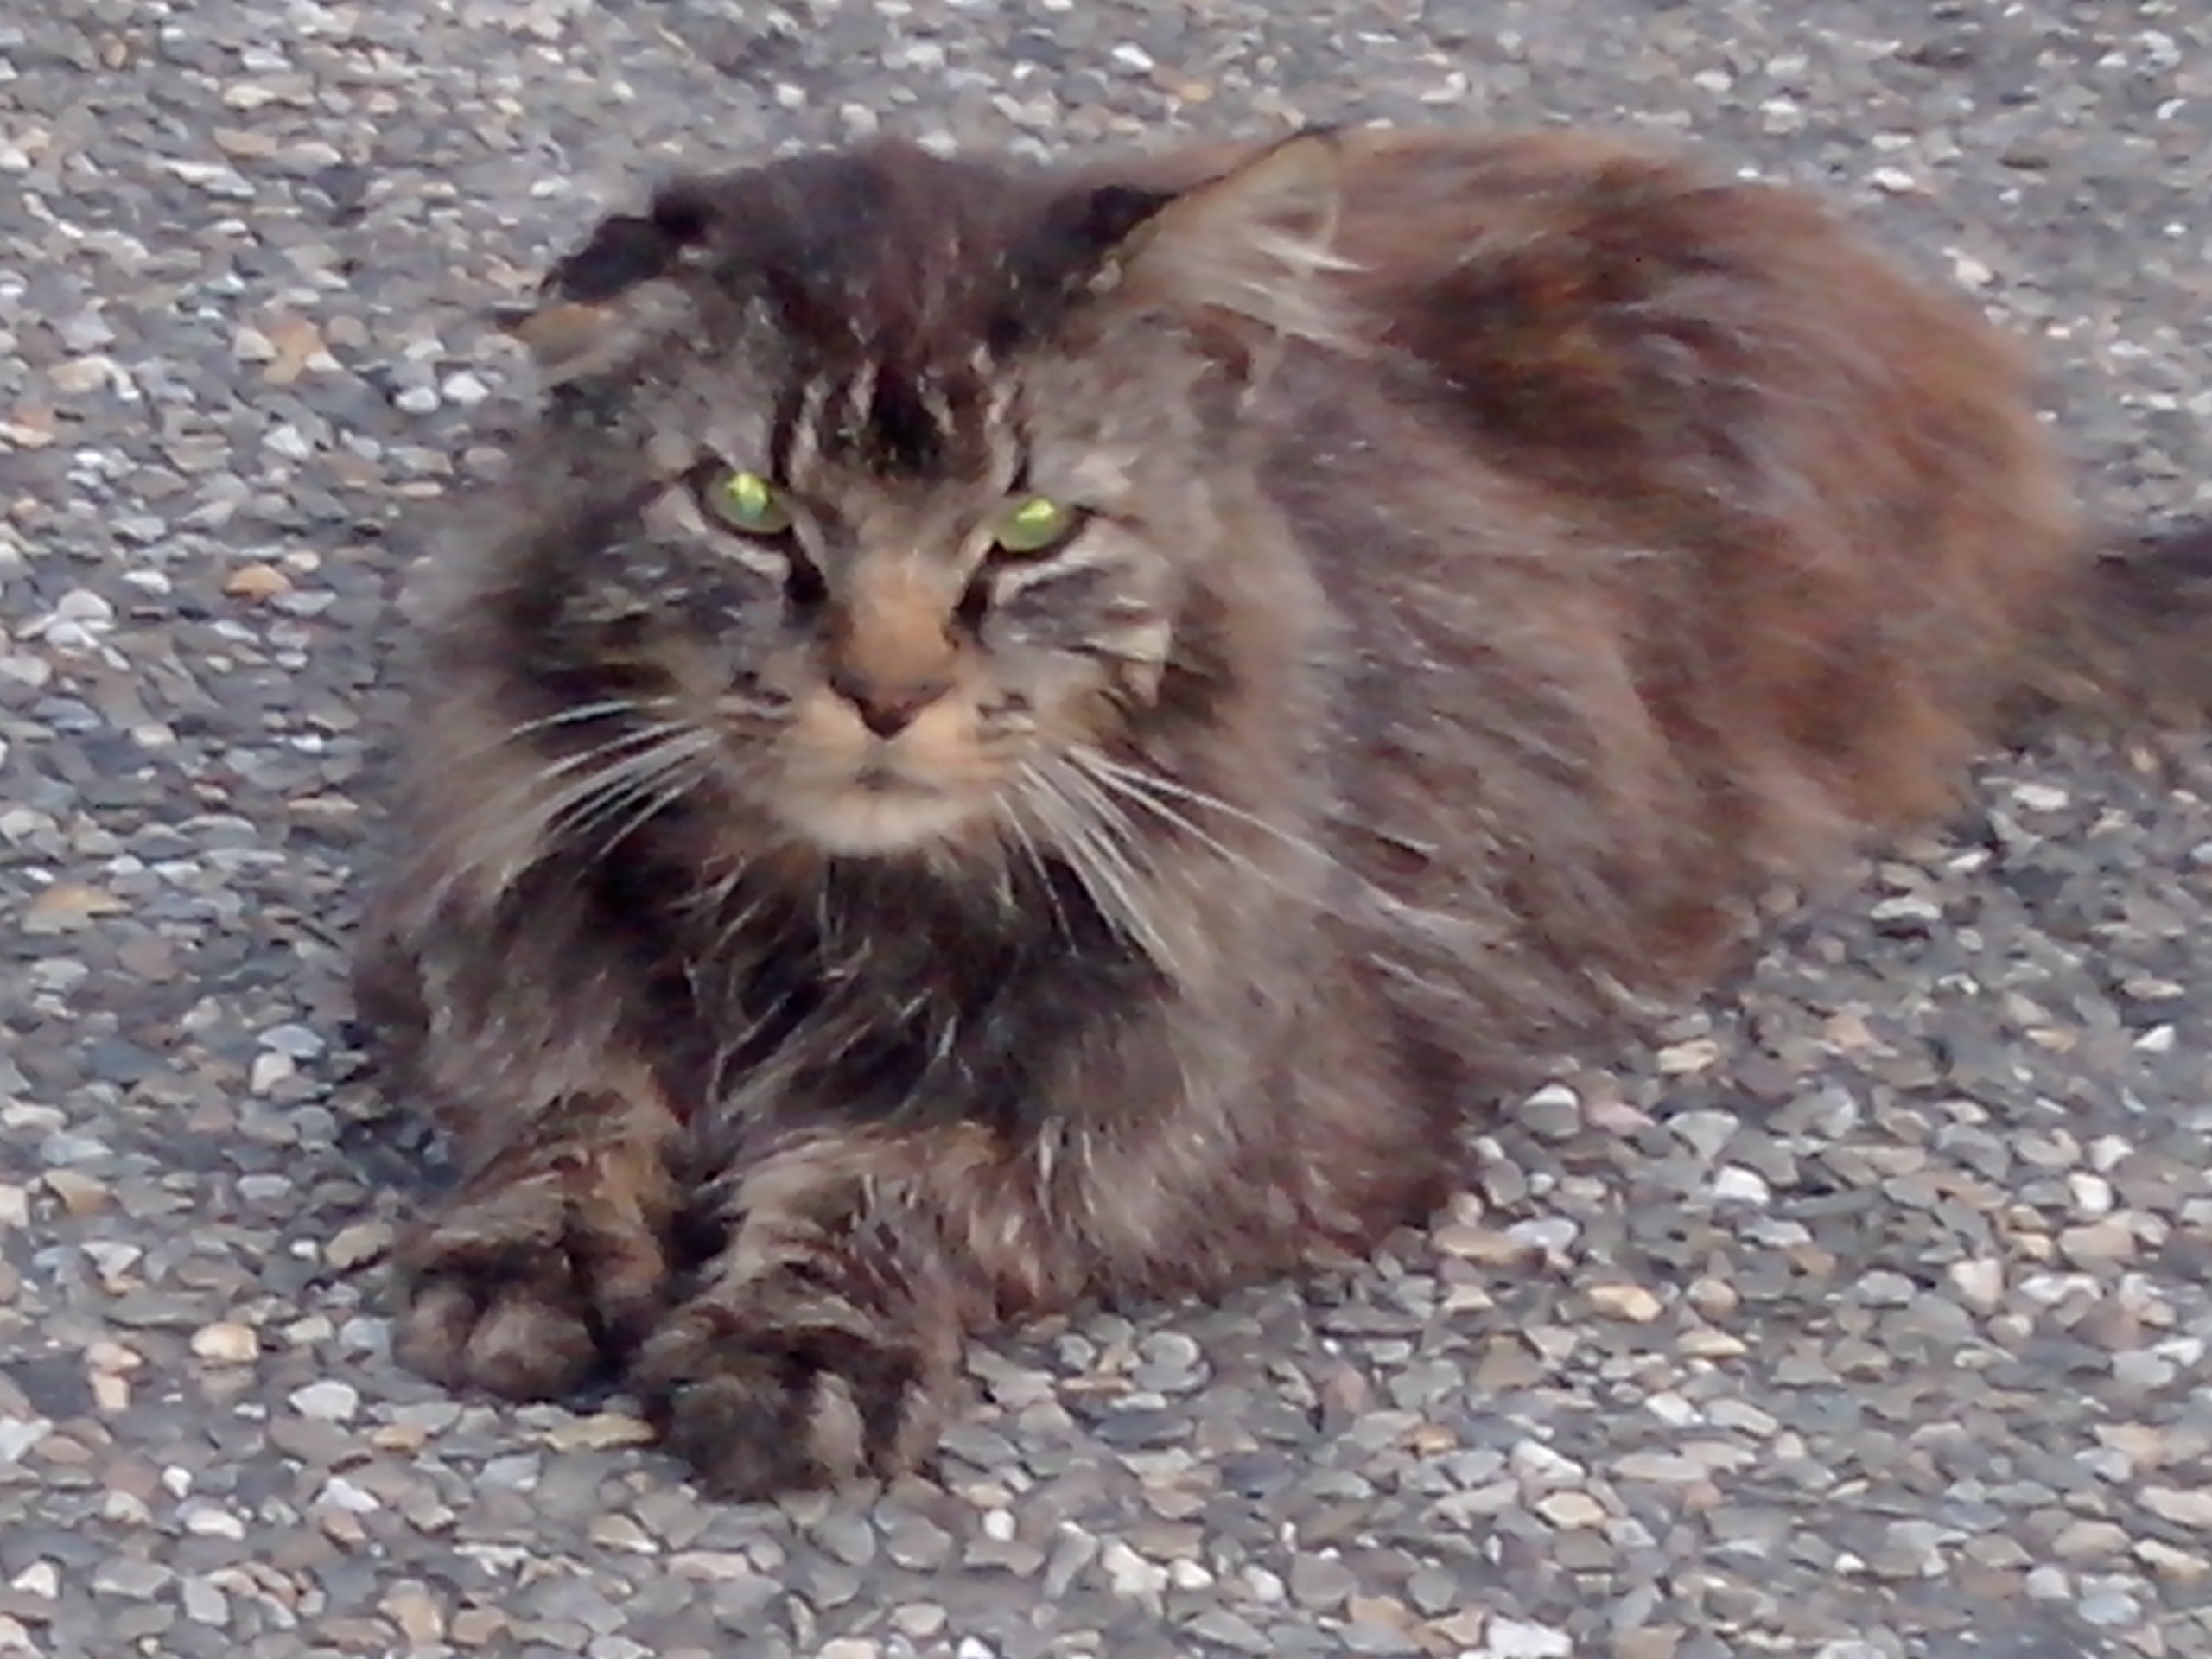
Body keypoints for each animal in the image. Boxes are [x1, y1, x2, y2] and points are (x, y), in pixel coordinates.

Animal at [349, 123, 2212, 1503]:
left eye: (1030, 528)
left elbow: (911, 1171)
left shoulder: (1228, 1115)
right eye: (744, 505)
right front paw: (530, 1255)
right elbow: (566, 1095)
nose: (884, 691)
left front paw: (795, 1340)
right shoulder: (477, 937)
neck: (816, 920)